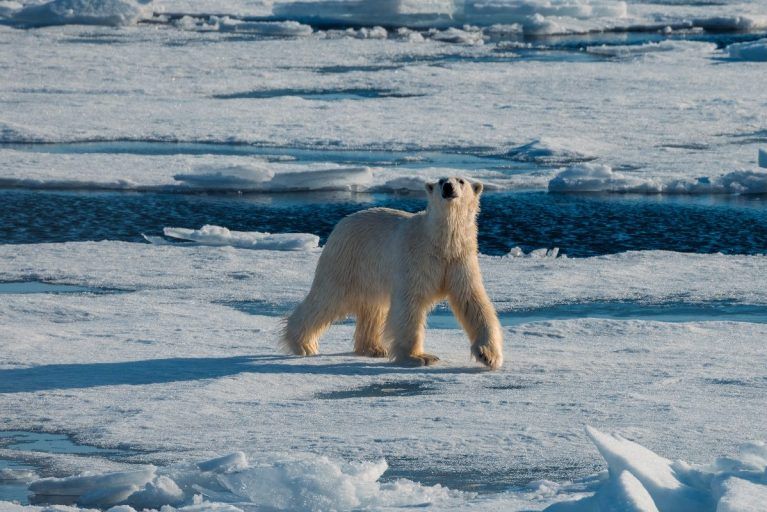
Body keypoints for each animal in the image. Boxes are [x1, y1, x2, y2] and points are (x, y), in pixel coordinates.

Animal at [281, 176, 504, 369]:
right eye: (441, 180)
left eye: (461, 180)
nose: (448, 187)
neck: (439, 243)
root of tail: (341, 223)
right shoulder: (416, 260)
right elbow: (409, 304)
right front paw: (418, 357)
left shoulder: (459, 261)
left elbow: (472, 302)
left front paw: (488, 355)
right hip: (348, 261)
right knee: (327, 298)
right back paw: (302, 344)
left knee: (373, 308)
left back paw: (374, 348)